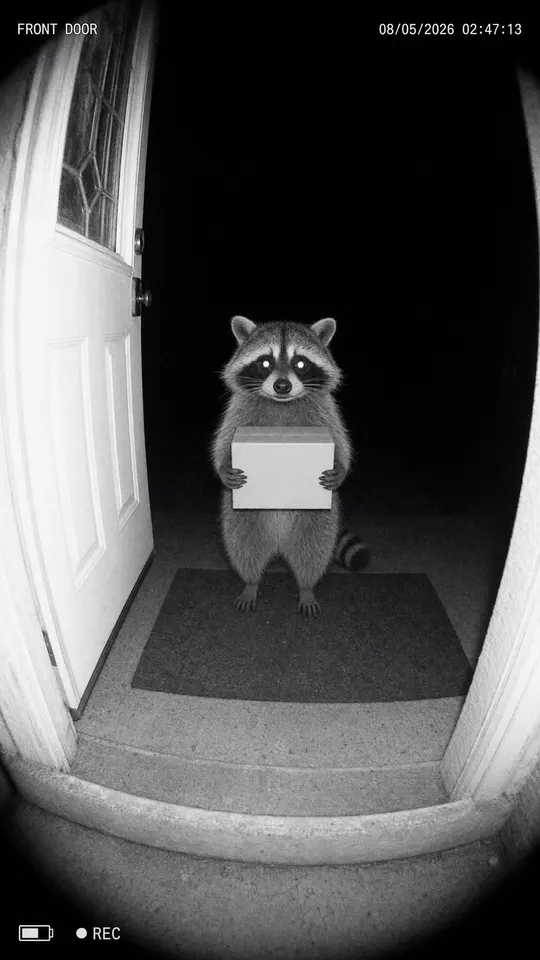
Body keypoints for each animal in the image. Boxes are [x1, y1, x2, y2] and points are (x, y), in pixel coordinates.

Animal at [211, 316, 369, 617]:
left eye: (300, 363)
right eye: (265, 363)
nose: (282, 386)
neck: (281, 402)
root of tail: (279, 545)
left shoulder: (326, 410)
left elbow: (340, 441)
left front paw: (341, 468)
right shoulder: (238, 409)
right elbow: (224, 440)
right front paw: (223, 468)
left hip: (318, 518)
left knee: (314, 550)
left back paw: (306, 587)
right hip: (241, 517)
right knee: (243, 546)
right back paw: (251, 582)